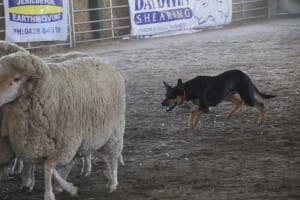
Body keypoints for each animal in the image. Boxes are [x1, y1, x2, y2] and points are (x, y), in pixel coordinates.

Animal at [0, 50, 125, 199]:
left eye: (17, 79)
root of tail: (104, 62)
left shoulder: (65, 144)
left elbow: (48, 168)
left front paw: (50, 194)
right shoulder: (39, 146)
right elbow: (49, 167)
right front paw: (68, 188)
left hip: (114, 131)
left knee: (112, 157)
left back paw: (113, 183)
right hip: (93, 135)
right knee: (100, 156)